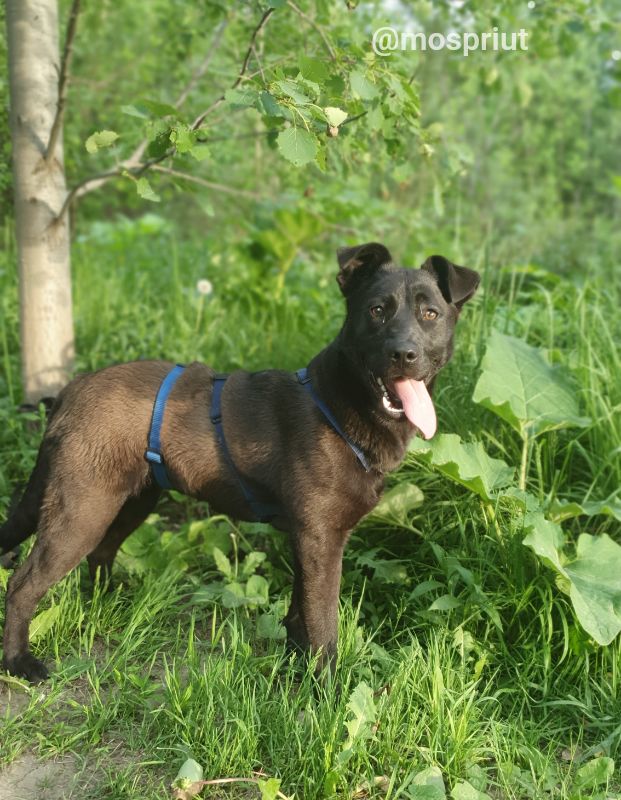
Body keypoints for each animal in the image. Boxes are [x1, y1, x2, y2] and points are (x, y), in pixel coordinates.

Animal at [0, 242, 480, 680]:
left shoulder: (307, 540)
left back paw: (110, 607)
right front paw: (325, 691)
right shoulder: (321, 539)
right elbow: (324, 624)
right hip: (82, 509)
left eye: (430, 314)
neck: (337, 406)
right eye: (377, 310)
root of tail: (70, 391)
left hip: (130, 501)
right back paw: (19, 662)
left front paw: (294, 665)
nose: (404, 354)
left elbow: (300, 614)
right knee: (22, 584)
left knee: (100, 556)